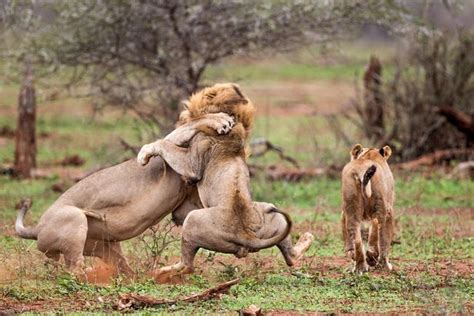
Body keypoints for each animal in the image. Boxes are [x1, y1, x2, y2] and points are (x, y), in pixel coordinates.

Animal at [138, 82, 314, 280]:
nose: (183, 114)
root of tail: (246, 235)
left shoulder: (192, 163)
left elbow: (165, 144)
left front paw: (144, 154)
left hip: (193, 220)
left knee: (187, 265)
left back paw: (160, 272)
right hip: (272, 215)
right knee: (291, 256)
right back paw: (308, 238)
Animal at [340, 144, 396, 274]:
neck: (370, 154)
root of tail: (361, 170)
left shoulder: (344, 212)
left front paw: (369, 256)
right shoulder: (386, 209)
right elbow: (377, 233)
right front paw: (372, 257)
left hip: (351, 205)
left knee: (355, 235)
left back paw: (360, 267)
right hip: (384, 210)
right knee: (383, 239)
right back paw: (385, 266)